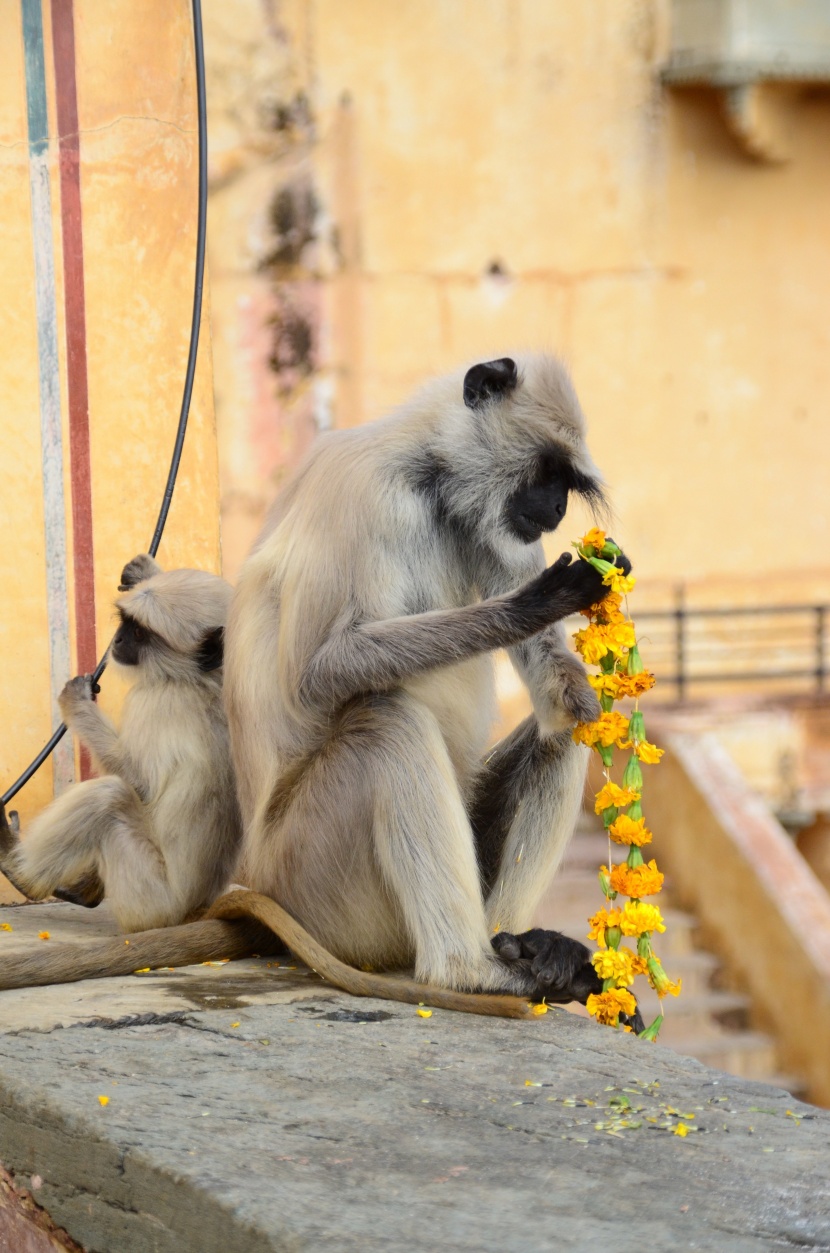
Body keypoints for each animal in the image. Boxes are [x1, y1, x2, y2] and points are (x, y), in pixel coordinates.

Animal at [0, 556, 241, 932]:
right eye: (127, 623)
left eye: (140, 633)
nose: (118, 638)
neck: (202, 680)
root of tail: (192, 910)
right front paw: (143, 571)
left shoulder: (157, 701)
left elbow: (139, 783)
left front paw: (77, 701)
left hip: (145, 897)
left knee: (108, 795)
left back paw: (20, 872)